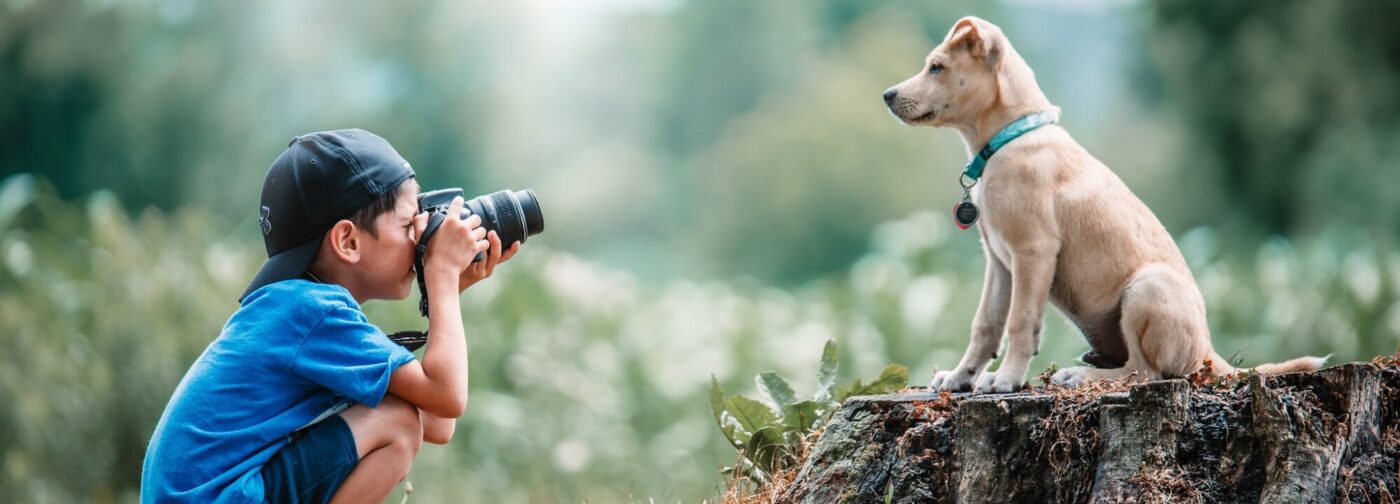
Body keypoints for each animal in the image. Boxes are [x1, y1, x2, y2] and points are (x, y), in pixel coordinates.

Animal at [884, 16, 1321, 394]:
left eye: (937, 67)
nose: (888, 95)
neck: (1010, 137)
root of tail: (1209, 353)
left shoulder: (1032, 252)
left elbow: (1020, 323)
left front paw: (1005, 379)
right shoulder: (999, 261)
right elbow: (986, 324)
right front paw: (961, 377)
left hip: (1144, 289)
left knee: (1145, 372)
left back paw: (1080, 375)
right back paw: (1088, 362)